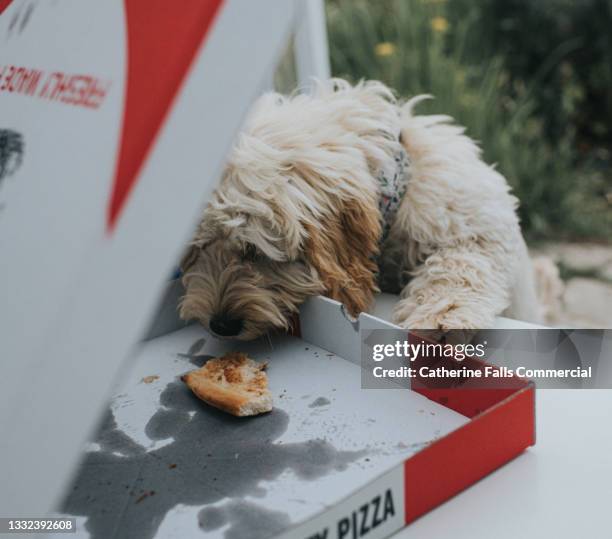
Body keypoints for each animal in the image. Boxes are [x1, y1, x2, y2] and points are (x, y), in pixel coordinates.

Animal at [178, 78, 556, 340]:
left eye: (254, 251)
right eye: (194, 253)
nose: (220, 325)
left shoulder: (476, 223)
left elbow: (461, 263)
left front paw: (441, 315)